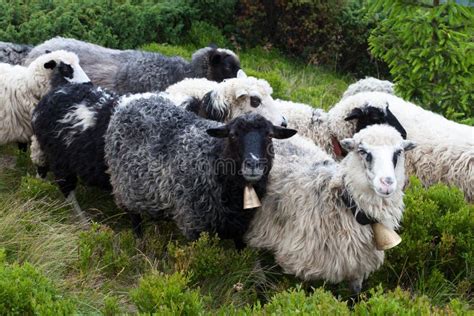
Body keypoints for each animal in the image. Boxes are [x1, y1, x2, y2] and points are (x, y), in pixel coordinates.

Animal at [105, 95, 294, 248]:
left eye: (269, 135)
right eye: (233, 135)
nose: (253, 164)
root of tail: (129, 102)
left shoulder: (240, 225)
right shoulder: (194, 223)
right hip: (125, 186)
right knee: (134, 215)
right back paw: (139, 240)